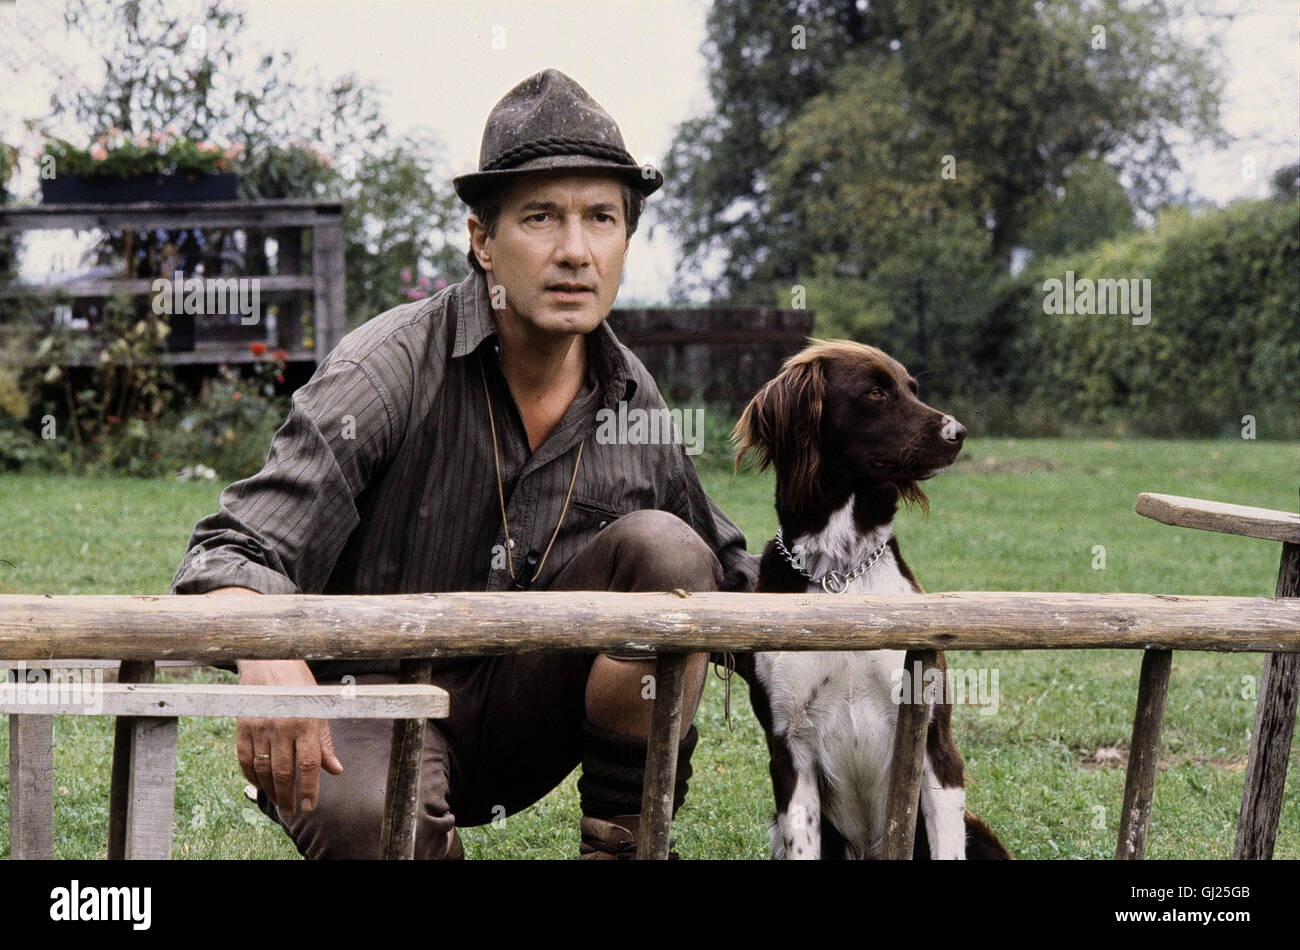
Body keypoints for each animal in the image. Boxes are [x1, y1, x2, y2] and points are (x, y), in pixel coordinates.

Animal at [733, 343, 1003, 862]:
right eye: (875, 393)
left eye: (912, 389)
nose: (957, 432)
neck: (841, 572)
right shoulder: (788, 747)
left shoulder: (935, 743)